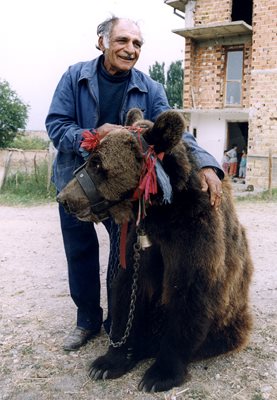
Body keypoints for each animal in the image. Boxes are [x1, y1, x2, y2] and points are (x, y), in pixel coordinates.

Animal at [57, 109, 252, 394]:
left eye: (98, 164)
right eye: (91, 159)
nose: (64, 199)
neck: (163, 213)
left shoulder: (194, 235)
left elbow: (188, 294)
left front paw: (159, 374)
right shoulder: (142, 243)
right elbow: (128, 289)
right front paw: (108, 362)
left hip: (231, 315)